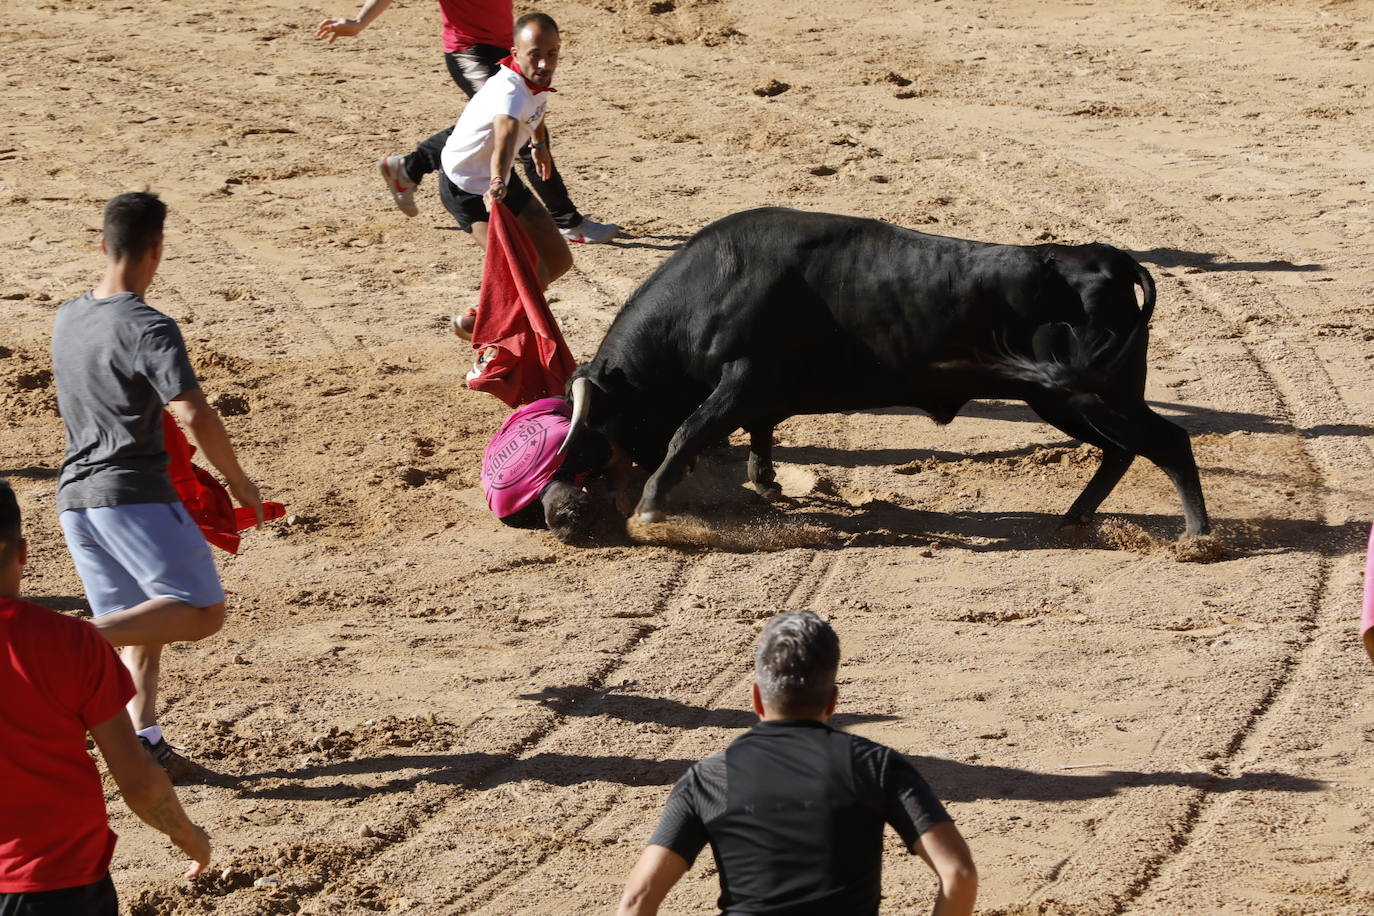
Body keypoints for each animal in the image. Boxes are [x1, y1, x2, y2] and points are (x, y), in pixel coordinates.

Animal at [563, 207, 1209, 538]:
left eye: (602, 423)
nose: (568, 494)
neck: (714, 287)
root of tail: (1108, 257)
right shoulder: (758, 391)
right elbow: (759, 431)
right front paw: (766, 482)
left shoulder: (742, 379)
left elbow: (688, 432)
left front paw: (651, 508)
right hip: (1069, 400)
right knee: (1122, 450)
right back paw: (1077, 515)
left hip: (1093, 397)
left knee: (1169, 441)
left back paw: (1198, 537)